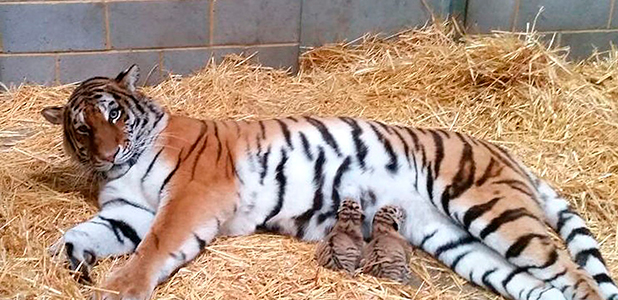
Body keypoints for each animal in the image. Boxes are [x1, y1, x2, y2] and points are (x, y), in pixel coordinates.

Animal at [43, 65, 616, 300]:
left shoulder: (191, 196)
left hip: (491, 208)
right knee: (541, 284)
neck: (124, 167)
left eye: (115, 114)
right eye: (82, 128)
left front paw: (122, 287)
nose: (108, 152)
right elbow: (81, 235)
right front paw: (64, 262)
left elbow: (158, 244)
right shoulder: (127, 213)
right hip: (461, 243)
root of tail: (505, 151)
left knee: (576, 276)